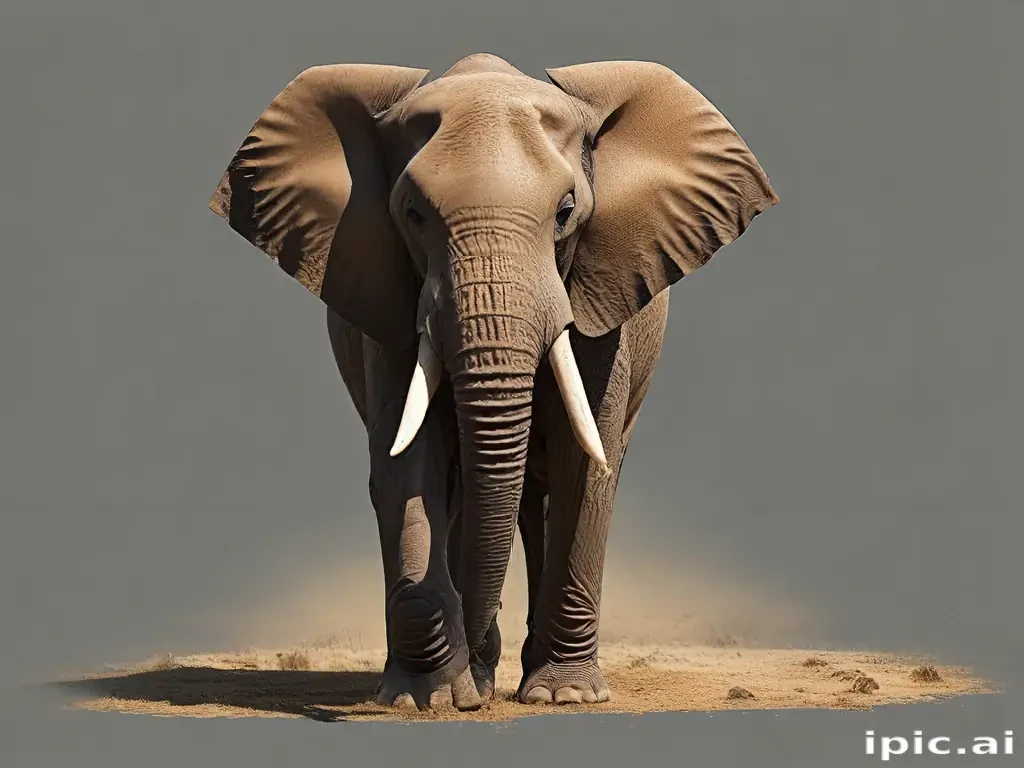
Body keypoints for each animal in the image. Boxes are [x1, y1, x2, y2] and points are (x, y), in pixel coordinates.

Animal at [209, 53, 777, 710]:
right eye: (412, 215)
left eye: (565, 214)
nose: (477, 682)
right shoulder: (387, 301)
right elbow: (406, 461)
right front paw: (427, 698)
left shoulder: (604, 299)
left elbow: (587, 465)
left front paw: (565, 697)